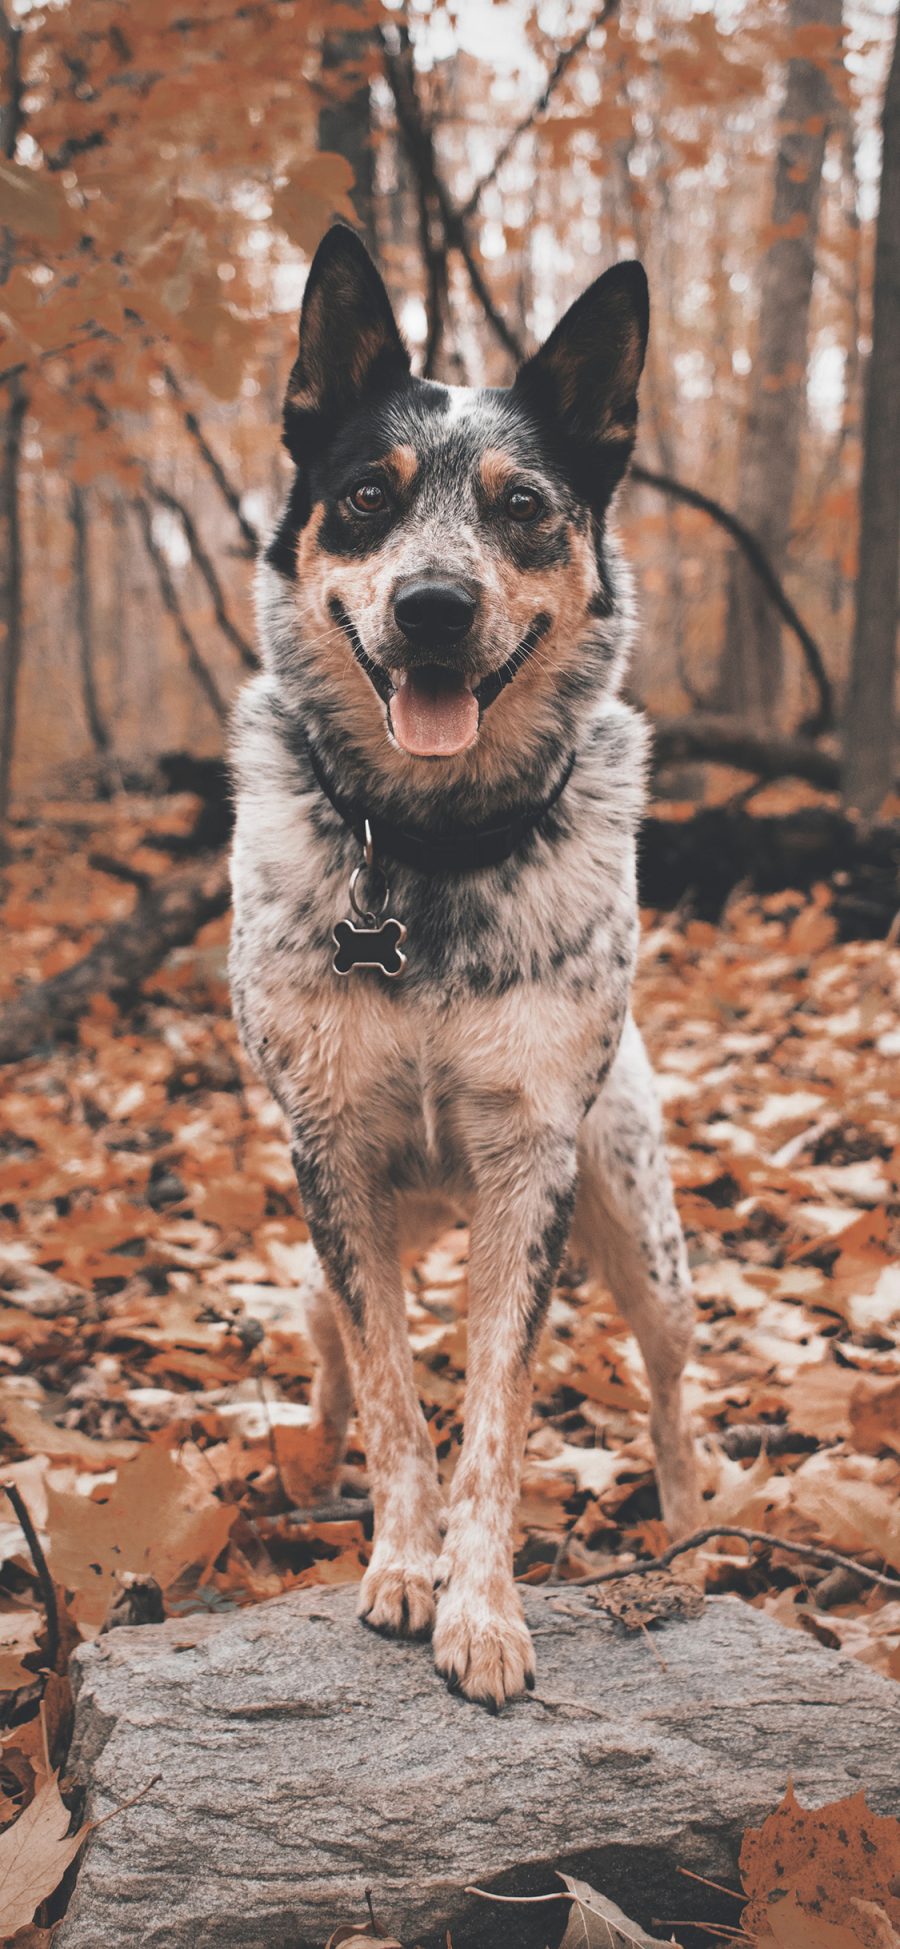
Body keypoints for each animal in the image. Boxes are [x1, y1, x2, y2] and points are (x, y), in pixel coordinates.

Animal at [228, 224, 701, 1707]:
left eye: (526, 506)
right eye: (367, 497)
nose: (434, 606)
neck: (428, 854)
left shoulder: (528, 1161)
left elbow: (496, 1407)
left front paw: (481, 1606)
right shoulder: (330, 1151)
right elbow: (394, 1388)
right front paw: (399, 1559)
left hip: (640, 1223)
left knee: (674, 1390)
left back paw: (697, 1534)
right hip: (329, 1241)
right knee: (331, 1342)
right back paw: (315, 1463)